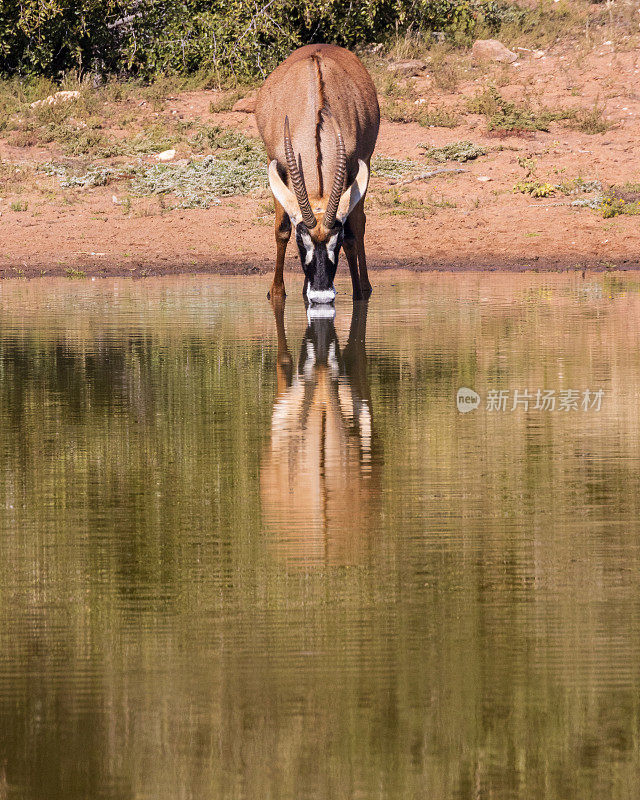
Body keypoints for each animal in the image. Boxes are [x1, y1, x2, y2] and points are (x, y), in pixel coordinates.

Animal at [255, 45, 380, 304]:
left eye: (336, 241)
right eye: (301, 240)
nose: (321, 294)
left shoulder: (354, 169)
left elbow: (352, 233)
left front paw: (358, 292)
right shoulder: (278, 166)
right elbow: (281, 229)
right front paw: (277, 292)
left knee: (359, 223)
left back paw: (364, 287)